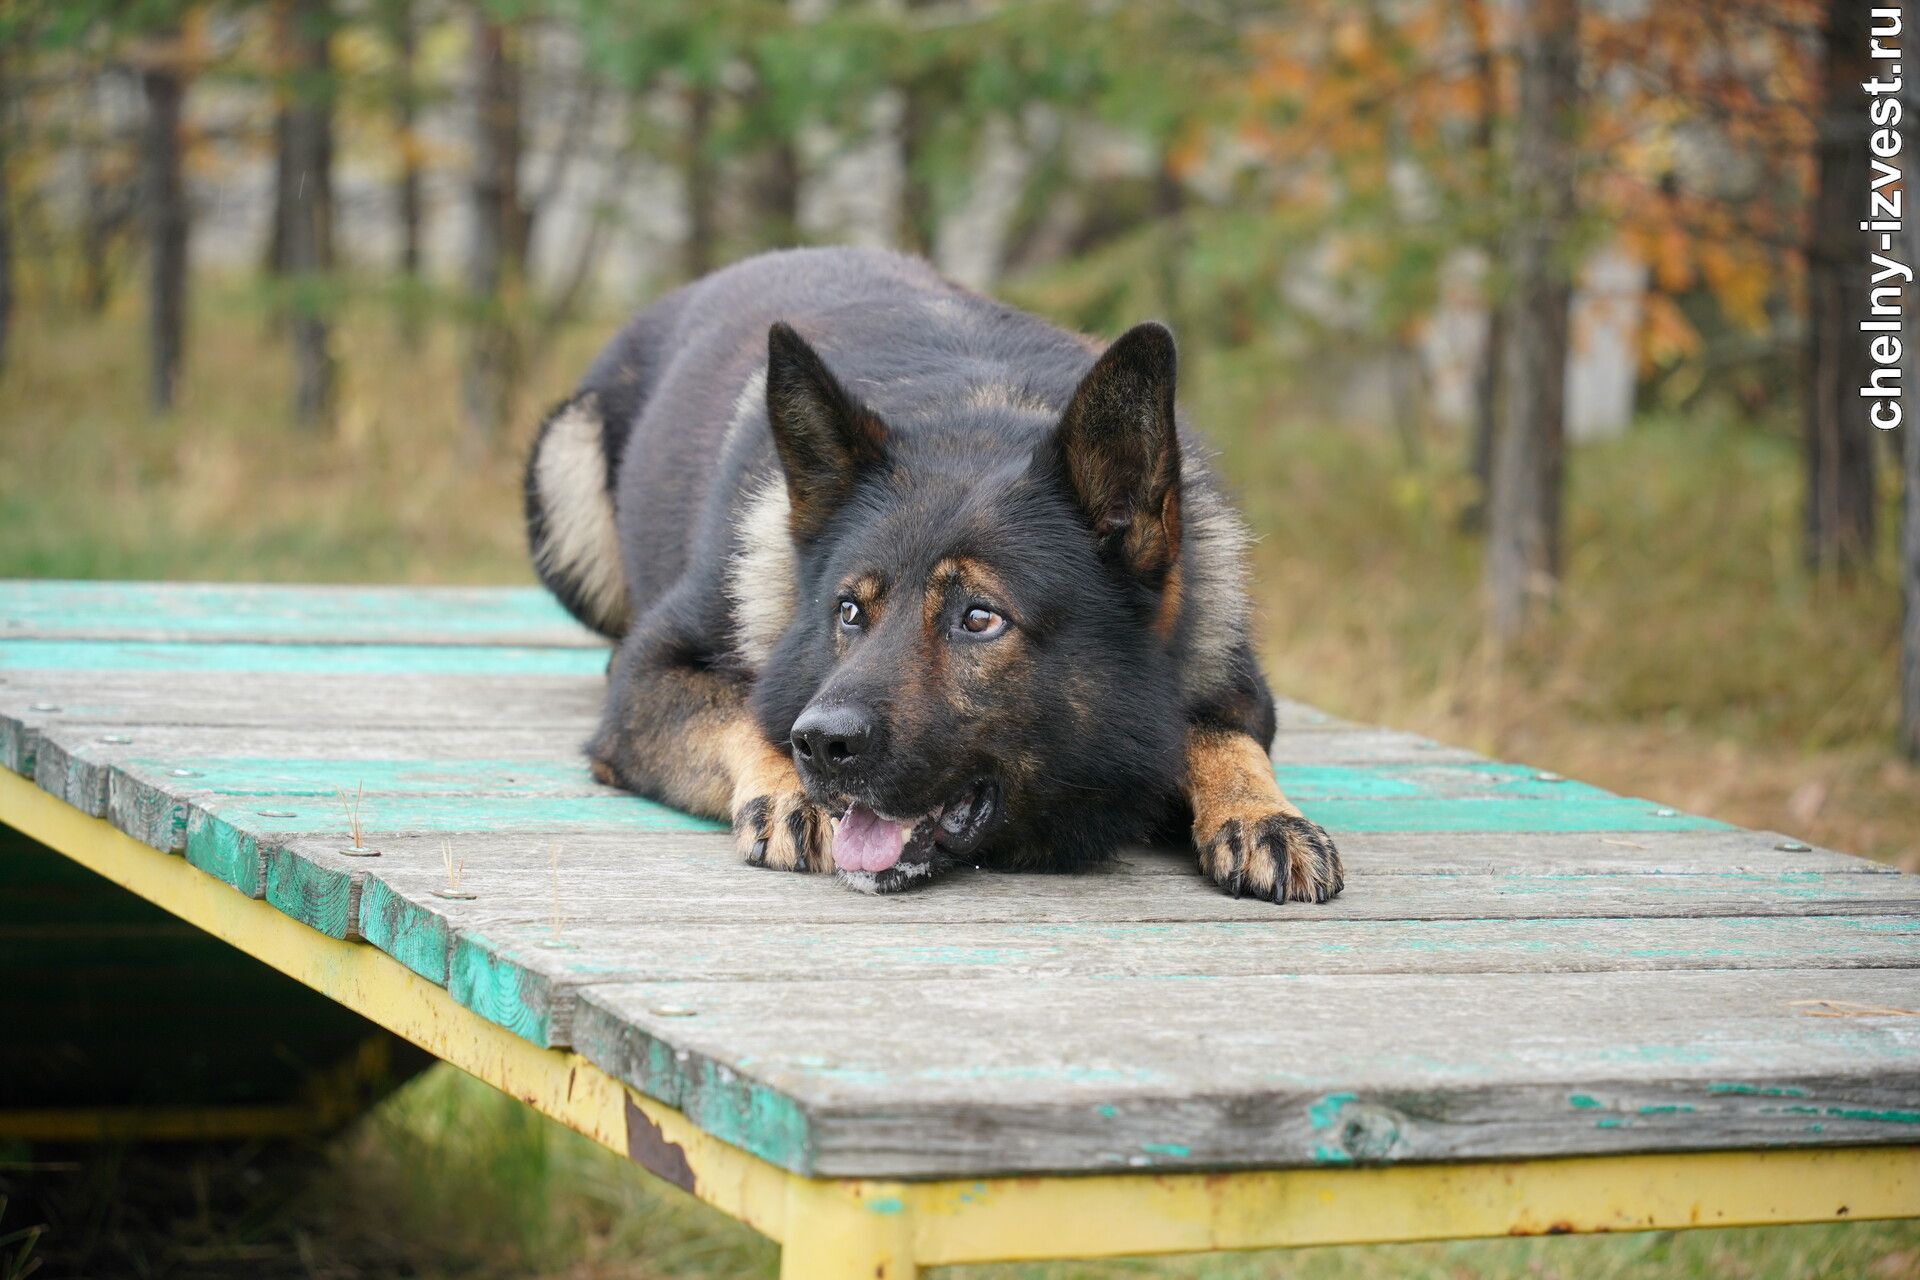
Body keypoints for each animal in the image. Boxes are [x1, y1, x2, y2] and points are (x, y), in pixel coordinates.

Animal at [518, 247, 1344, 901]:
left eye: (979, 618)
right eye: (849, 612)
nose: (821, 745)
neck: (979, 417)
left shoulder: (1231, 678)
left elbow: (1228, 737)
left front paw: (1263, 813)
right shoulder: (647, 678)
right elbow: (739, 709)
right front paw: (789, 788)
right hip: (563, 467)